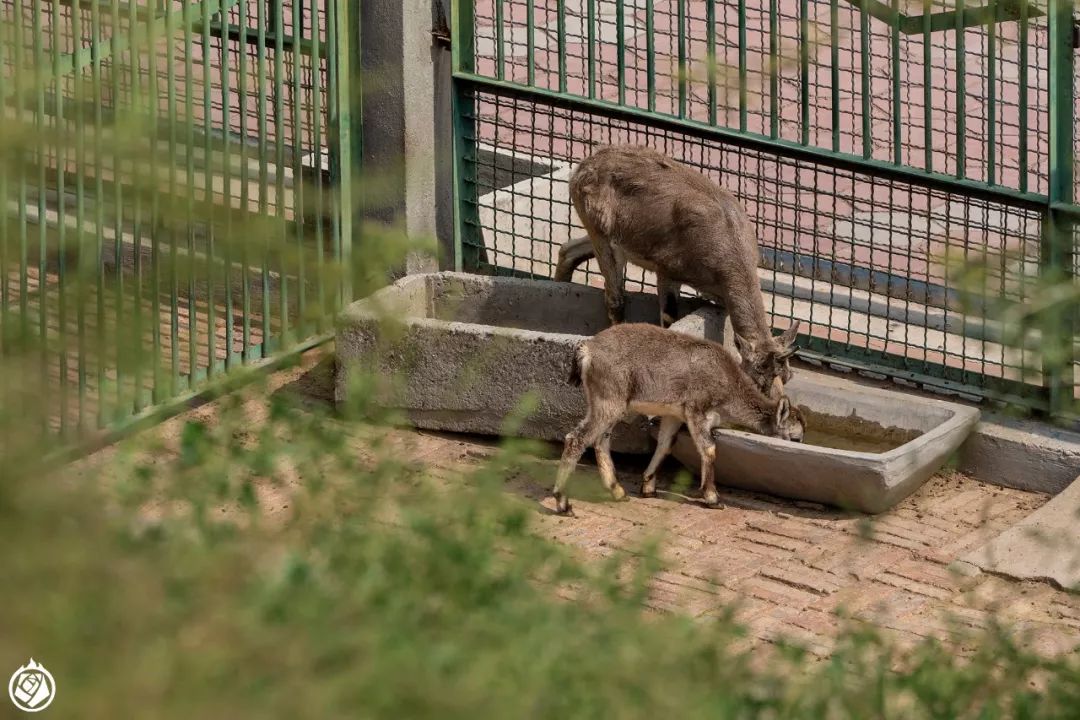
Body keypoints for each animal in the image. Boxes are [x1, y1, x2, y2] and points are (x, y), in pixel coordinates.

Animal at [557, 144, 803, 397]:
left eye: (788, 375)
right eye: (757, 380)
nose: (780, 405)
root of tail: (585, 166)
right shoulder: (667, 271)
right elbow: (668, 318)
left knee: (568, 250)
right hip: (603, 235)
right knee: (615, 299)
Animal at [557, 323, 803, 515]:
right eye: (796, 438)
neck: (727, 386)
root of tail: (587, 350)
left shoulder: (673, 415)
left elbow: (666, 445)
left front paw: (648, 487)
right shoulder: (697, 411)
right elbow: (708, 449)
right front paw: (713, 498)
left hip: (611, 404)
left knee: (600, 441)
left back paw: (618, 491)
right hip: (608, 400)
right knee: (577, 439)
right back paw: (563, 504)